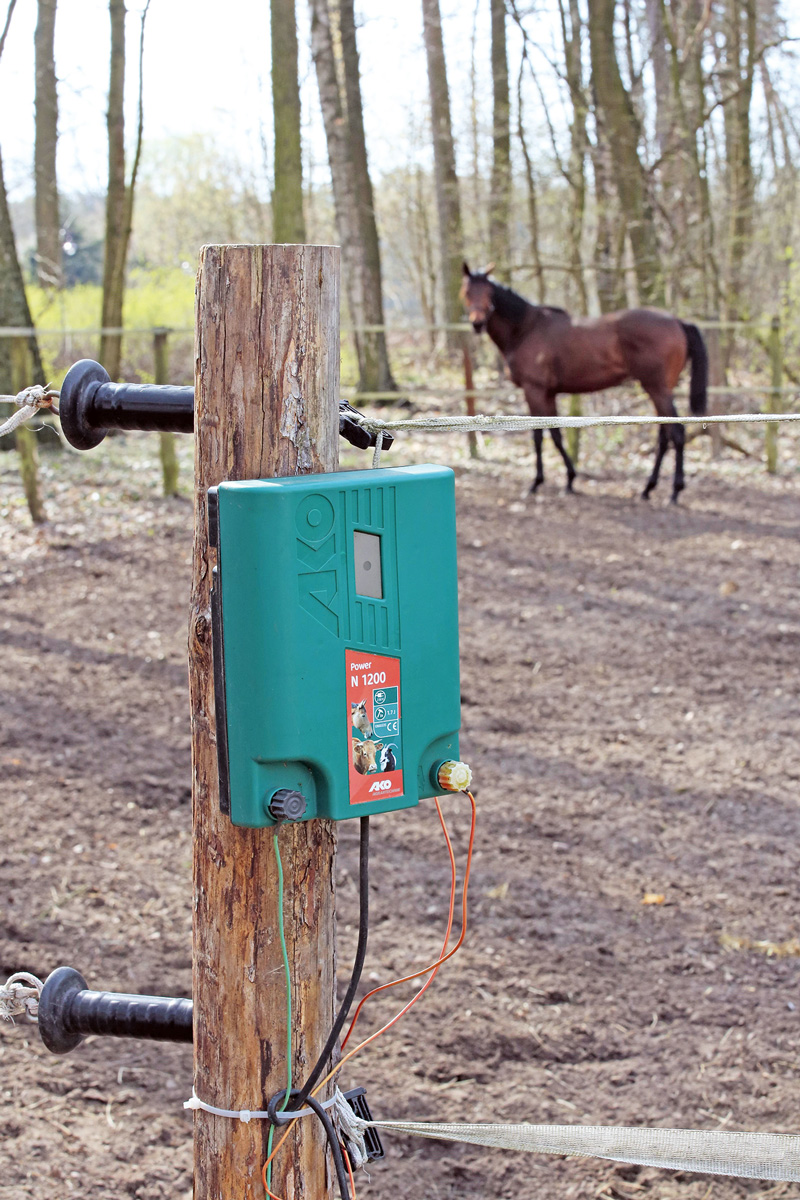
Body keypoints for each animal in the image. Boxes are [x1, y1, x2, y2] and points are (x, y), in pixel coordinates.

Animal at [462, 262, 705, 501]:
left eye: (489, 292)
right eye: (466, 292)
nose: (477, 323)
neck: (525, 329)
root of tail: (678, 321)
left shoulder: (534, 390)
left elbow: (539, 435)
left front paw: (536, 483)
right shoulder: (549, 393)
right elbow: (556, 434)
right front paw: (569, 480)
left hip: (658, 389)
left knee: (676, 433)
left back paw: (675, 491)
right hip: (658, 390)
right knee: (664, 435)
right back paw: (648, 488)